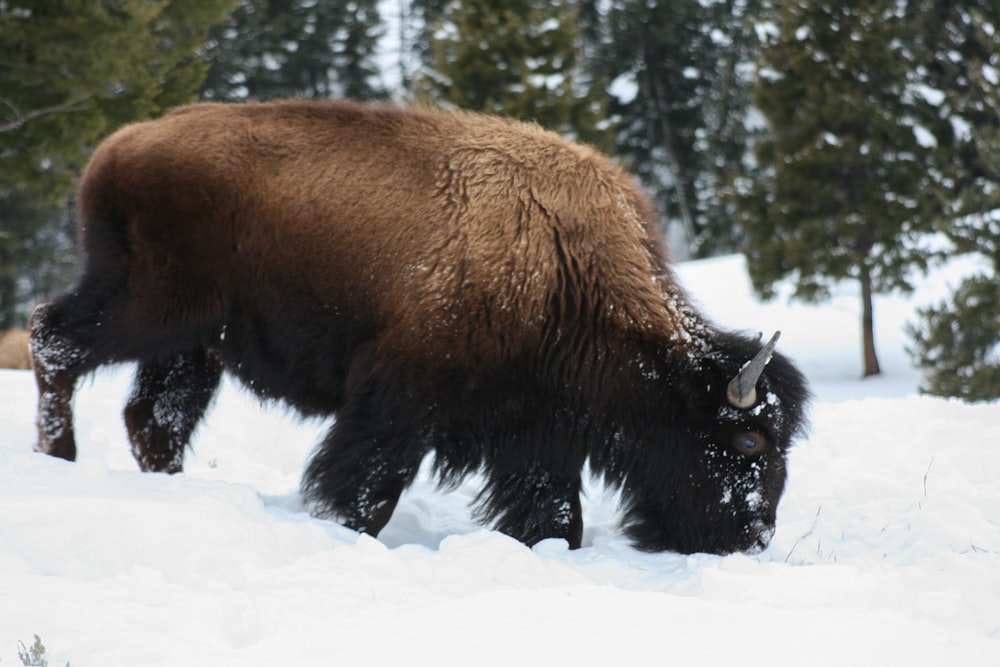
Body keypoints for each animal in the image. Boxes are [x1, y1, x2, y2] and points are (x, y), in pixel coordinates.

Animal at [29, 99, 812, 552]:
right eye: (748, 440)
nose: (754, 535)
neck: (565, 262)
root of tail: (120, 145)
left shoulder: (538, 431)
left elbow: (554, 513)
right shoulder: (399, 401)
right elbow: (366, 485)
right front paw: (346, 533)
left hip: (192, 345)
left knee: (151, 418)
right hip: (146, 308)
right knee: (52, 338)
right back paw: (57, 457)